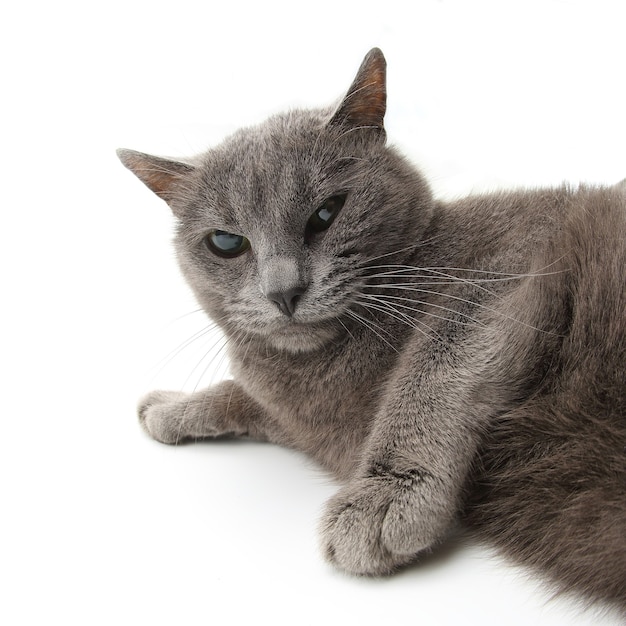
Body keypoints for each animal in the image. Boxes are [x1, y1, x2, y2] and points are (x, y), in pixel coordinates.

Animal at [118, 47, 624, 608]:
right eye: (226, 243)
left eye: (327, 212)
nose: (283, 291)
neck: (322, 370)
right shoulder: (310, 423)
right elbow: (244, 397)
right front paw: (171, 408)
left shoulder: (515, 257)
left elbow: (431, 364)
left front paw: (383, 498)